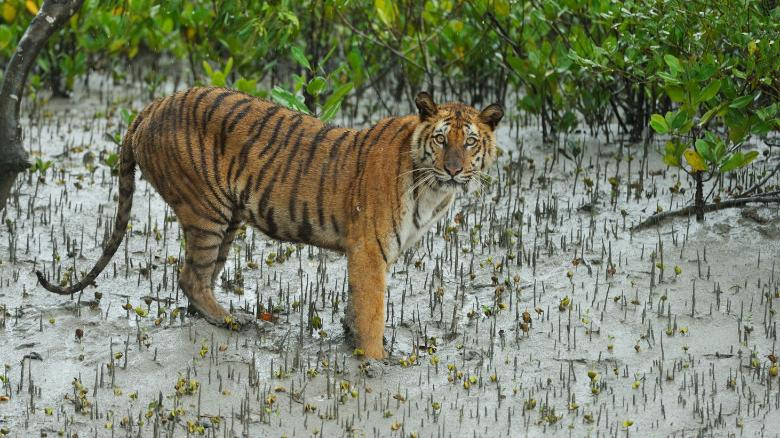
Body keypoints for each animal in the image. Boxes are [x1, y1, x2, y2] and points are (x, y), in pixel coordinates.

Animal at [39, 86, 506, 360]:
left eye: (471, 142)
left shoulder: (371, 255)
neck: (432, 188)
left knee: (199, 276)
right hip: (207, 212)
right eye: (442, 139)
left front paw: (351, 339)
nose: (454, 170)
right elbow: (374, 310)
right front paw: (375, 361)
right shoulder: (369, 250)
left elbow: (356, 305)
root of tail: (154, 104)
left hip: (227, 219)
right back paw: (230, 321)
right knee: (190, 275)